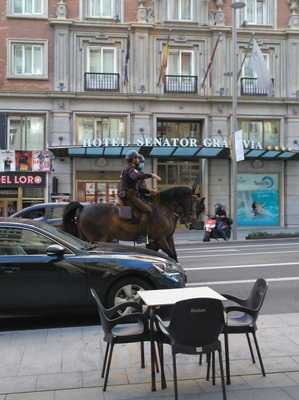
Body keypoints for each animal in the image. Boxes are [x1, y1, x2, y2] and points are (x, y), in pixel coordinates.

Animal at [62, 186, 203, 260]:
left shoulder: (167, 238)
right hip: (97, 238)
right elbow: (171, 255)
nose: (191, 219)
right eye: (192, 201)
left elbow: (171, 255)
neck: (165, 208)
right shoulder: (160, 239)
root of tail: (83, 208)